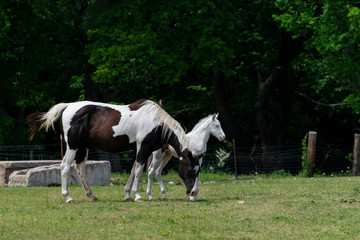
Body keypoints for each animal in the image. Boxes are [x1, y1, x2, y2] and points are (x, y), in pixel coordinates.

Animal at [27, 99, 202, 202]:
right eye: (192, 170)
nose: (193, 192)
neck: (157, 122)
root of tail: (68, 106)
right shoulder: (143, 148)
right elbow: (139, 171)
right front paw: (137, 195)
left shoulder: (139, 150)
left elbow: (133, 170)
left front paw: (128, 195)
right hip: (73, 146)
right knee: (65, 167)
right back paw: (68, 197)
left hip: (83, 148)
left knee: (79, 168)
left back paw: (91, 195)